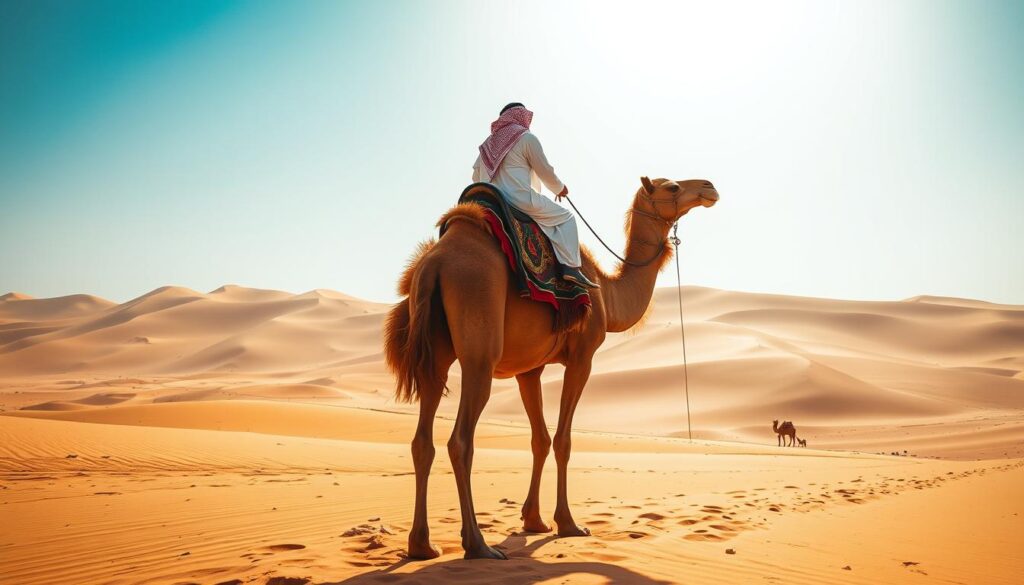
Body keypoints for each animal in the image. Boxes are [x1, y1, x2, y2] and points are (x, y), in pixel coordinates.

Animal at [384, 176, 719, 560]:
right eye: (673, 187)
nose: (709, 187)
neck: (607, 294)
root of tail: (433, 264)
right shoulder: (583, 357)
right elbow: (562, 441)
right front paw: (569, 524)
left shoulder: (529, 369)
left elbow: (539, 439)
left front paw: (533, 520)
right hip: (479, 351)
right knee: (460, 440)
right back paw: (478, 544)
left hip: (433, 356)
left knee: (422, 440)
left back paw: (422, 545)